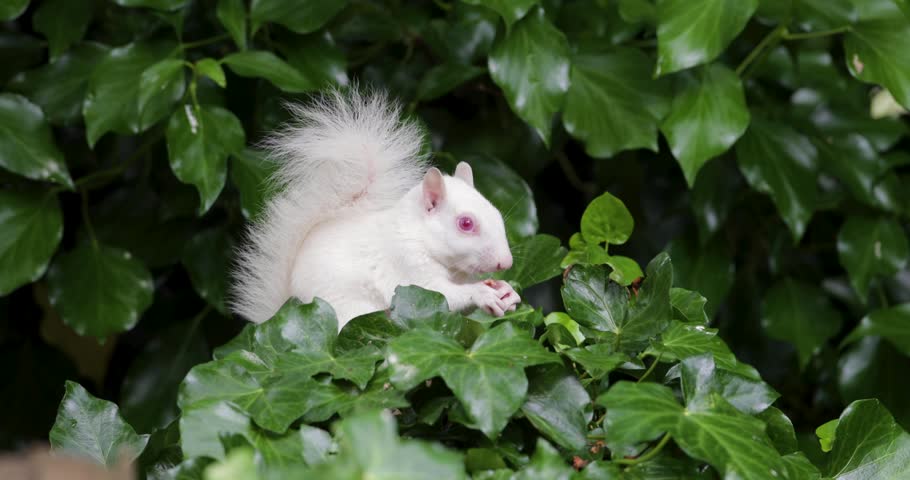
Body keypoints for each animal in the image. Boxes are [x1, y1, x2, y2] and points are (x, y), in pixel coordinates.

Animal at [231, 87, 520, 329]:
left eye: (497, 213)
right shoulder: (410, 274)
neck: (417, 235)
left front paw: (507, 290)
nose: (506, 262)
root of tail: (280, 314)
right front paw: (482, 293)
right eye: (466, 223)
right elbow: (444, 296)